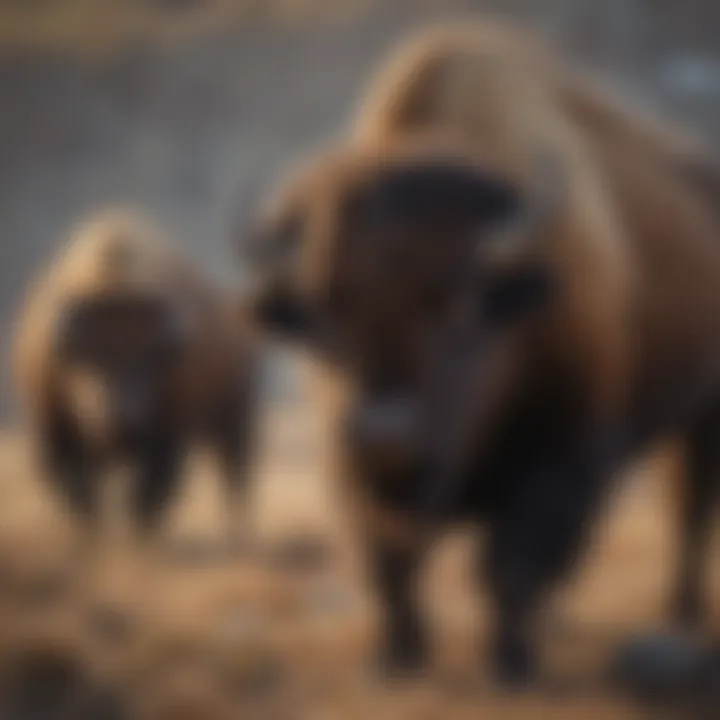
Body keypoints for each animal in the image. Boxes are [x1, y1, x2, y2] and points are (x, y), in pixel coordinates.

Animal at [13, 208, 258, 556]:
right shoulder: (54, 435)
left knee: (234, 475)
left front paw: (137, 546)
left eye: (151, 360)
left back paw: (238, 535)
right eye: (87, 359)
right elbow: (82, 498)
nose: (123, 422)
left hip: (234, 419)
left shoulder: (167, 439)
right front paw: (93, 544)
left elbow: (147, 496)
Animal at [243, 21, 720, 688]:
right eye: (322, 312)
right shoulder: (351, 471)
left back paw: (679, 614)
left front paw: (511, 664)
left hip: (704, 413)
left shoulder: (561, 454)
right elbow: (391, 564)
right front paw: (396, 659)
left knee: (689, 509)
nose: (384, 434)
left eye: (460, 309)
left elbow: (508, 566)